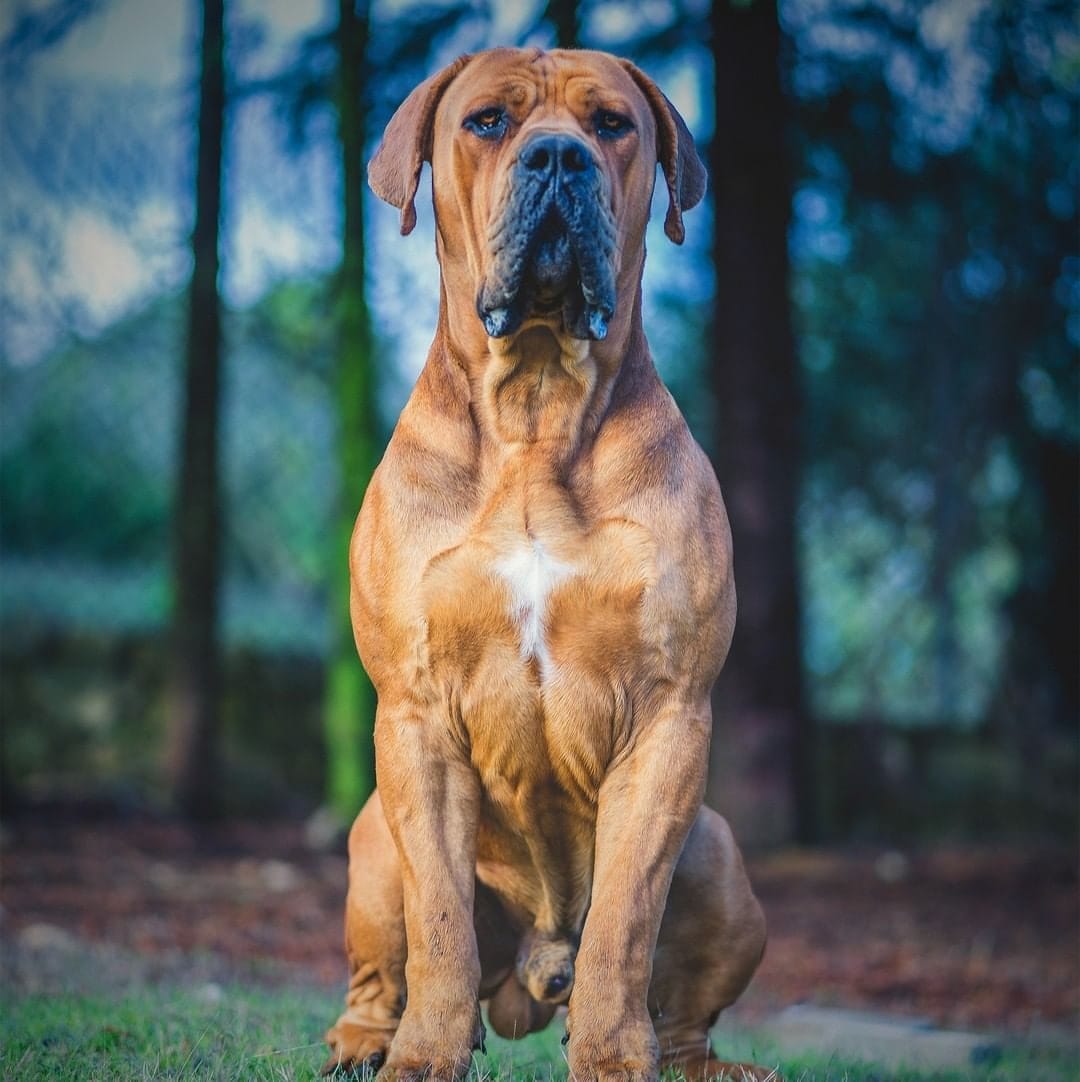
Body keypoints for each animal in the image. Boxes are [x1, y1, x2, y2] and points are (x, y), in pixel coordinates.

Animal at [320, 46, 770, 1077]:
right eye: (487, 121)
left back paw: (705, 1063)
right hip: (370, 839)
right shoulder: (413, 719)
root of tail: (533, 971)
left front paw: (610, 1055)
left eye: (611, 124)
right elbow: (439, 922)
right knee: (381, 969)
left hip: (719, 853)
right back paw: (363, 1041)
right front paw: (426, 1054)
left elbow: (624, 923)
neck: (534, 404)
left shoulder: (670, 717)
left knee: (681, 1012)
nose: (558, 156)